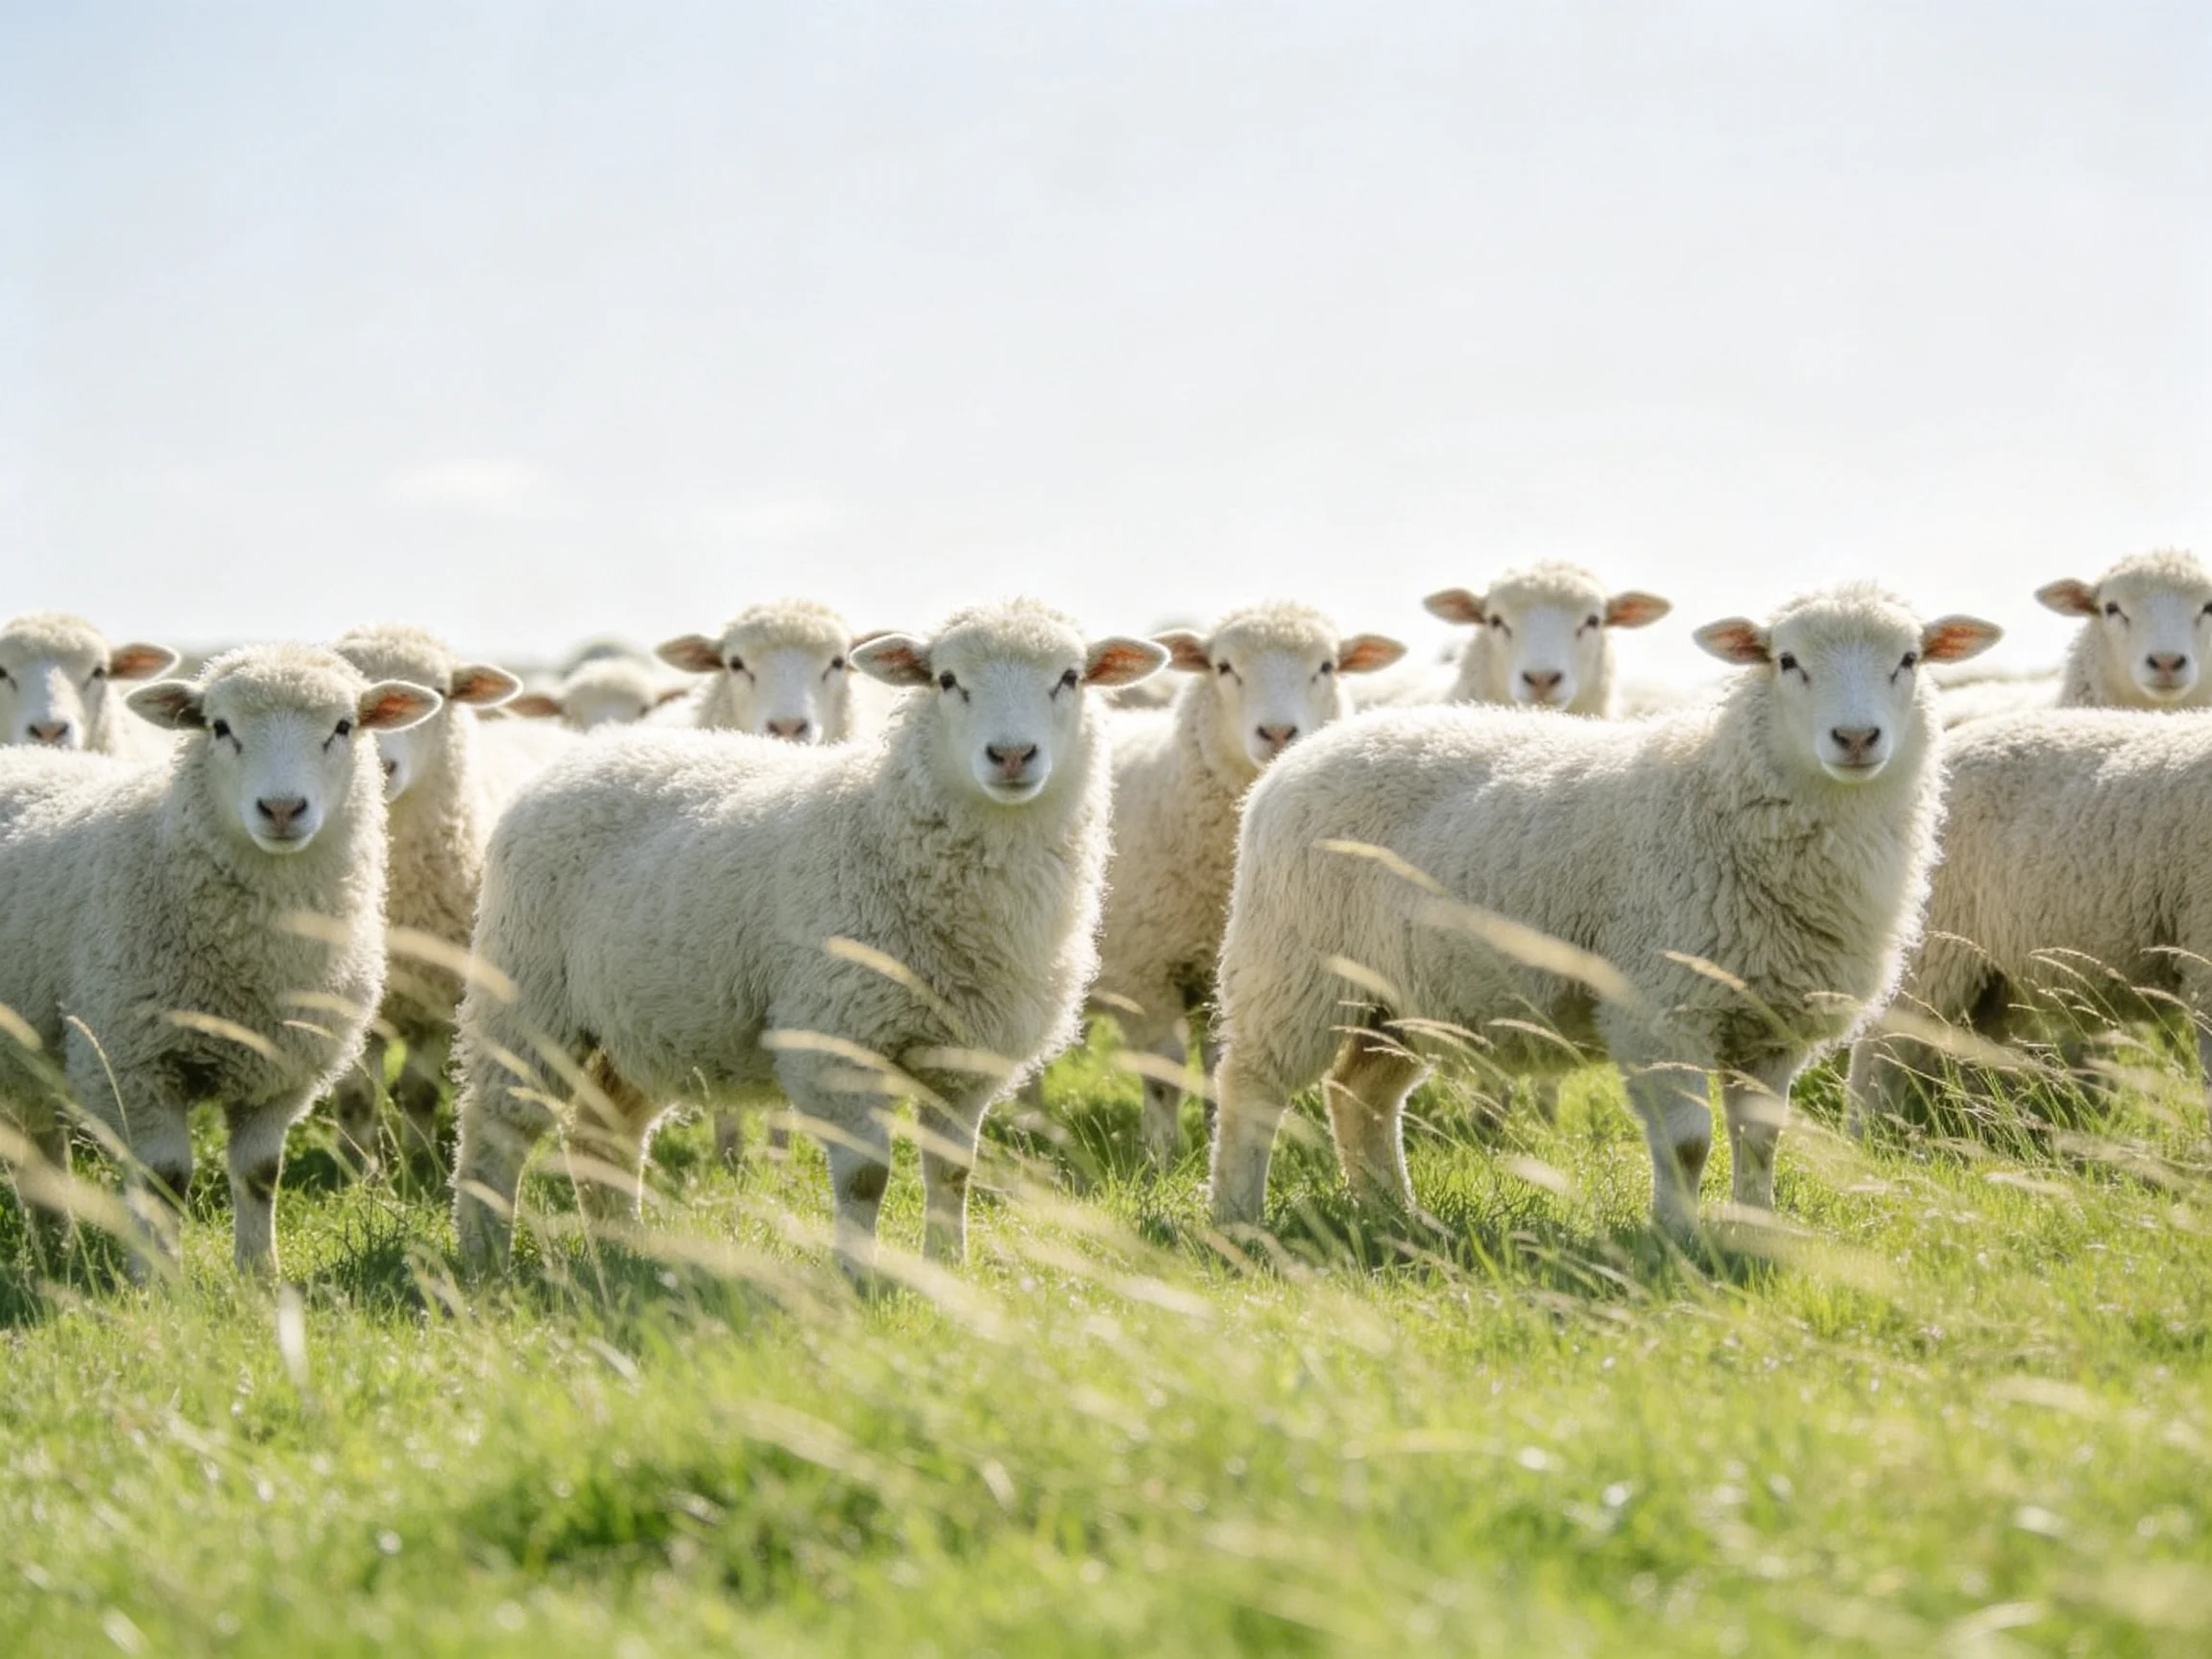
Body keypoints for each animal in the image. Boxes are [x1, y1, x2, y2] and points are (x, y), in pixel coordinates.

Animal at [0, 646, 439, 1273]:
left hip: (31, 1045)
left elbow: (259, 1174)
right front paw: (157, 1277)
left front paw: (259, 1273)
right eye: (220, 727)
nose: (281, 809)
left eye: (343, 727)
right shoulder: (133, 1062)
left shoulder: (281, 1068)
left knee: (38, 1139)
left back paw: (57, 1245)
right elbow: (163, 1179)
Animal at [1088, 603, 1406, 1167]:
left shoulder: (1227, 977)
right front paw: (1162, 1155)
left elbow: (1218, 1065)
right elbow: (1164, 1072)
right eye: (1223, 667)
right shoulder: (1144, 975)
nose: (1278, 732)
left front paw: (1213, 1134)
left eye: (1326, 666)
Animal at [1207, 584, 2001, 1235]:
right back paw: (1237, 1218)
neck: (1724, 793)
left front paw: (1757, 1233)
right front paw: (1677, 1240)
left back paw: (1393, 1214)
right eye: (1786, 661)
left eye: (1909, 659)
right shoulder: (1660, 1003)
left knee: (1358, 1096)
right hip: (1294, 969)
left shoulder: (1771, 1018)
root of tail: (1300, 758)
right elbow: (1688, 1142)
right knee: (1251, 1087)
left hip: (1400, 997)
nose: (1856, 738)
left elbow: (1760, 1140)